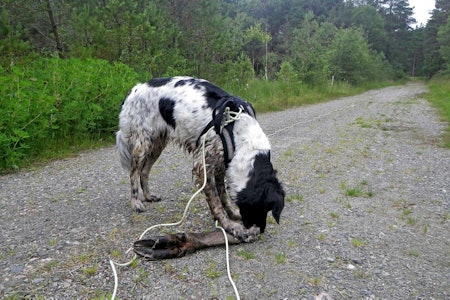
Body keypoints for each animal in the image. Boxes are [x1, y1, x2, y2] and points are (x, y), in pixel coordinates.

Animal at [117, 77, 284, 241]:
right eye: (259, 208)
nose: (261, 230)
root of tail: (134, 90)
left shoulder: (221, 164)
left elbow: (223, 195)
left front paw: (232, 213)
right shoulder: (203, 166)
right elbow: (216, 202)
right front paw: (230, 226)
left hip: (157, 144)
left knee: (144, 171)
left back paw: (148, 196)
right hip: (143, 144)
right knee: (134, 172)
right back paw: (136, 202)